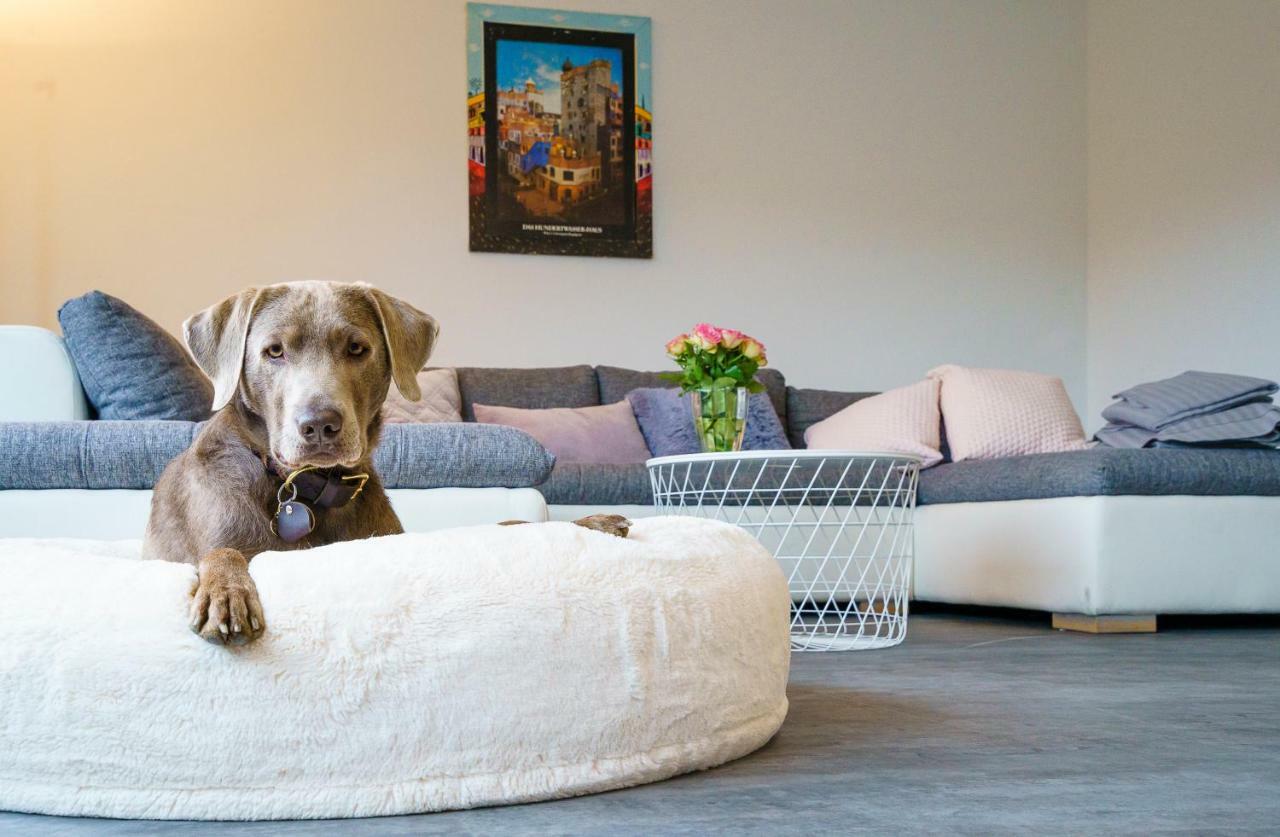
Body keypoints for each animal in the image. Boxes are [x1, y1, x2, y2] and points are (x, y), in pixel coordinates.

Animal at [147, 284, 627, 650]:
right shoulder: (226, 535)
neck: (310, 490)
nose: (319, 424)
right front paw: (226, 593)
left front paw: (594, 522)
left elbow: (507, 524)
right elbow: (223, 553)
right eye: (275, 351)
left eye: (357, 348)